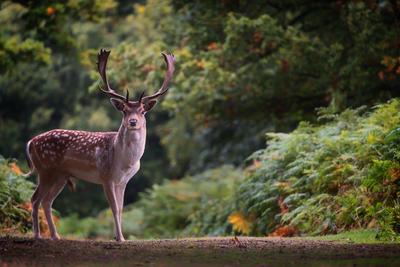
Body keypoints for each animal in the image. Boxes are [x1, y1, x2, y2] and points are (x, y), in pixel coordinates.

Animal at [24, 48, 175, 243]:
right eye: (124, 110)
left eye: (142, 111)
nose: (133, 122)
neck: (124, 160)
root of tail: (31, 142)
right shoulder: (106, 177)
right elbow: (114, 208)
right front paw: (120, 238)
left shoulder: (123, 181)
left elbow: (121, 208)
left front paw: (119, 236)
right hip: (45, 170)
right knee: (35, 198)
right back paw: (37, 235)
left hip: (60, 176)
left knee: (46, 200)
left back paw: (56, 236)